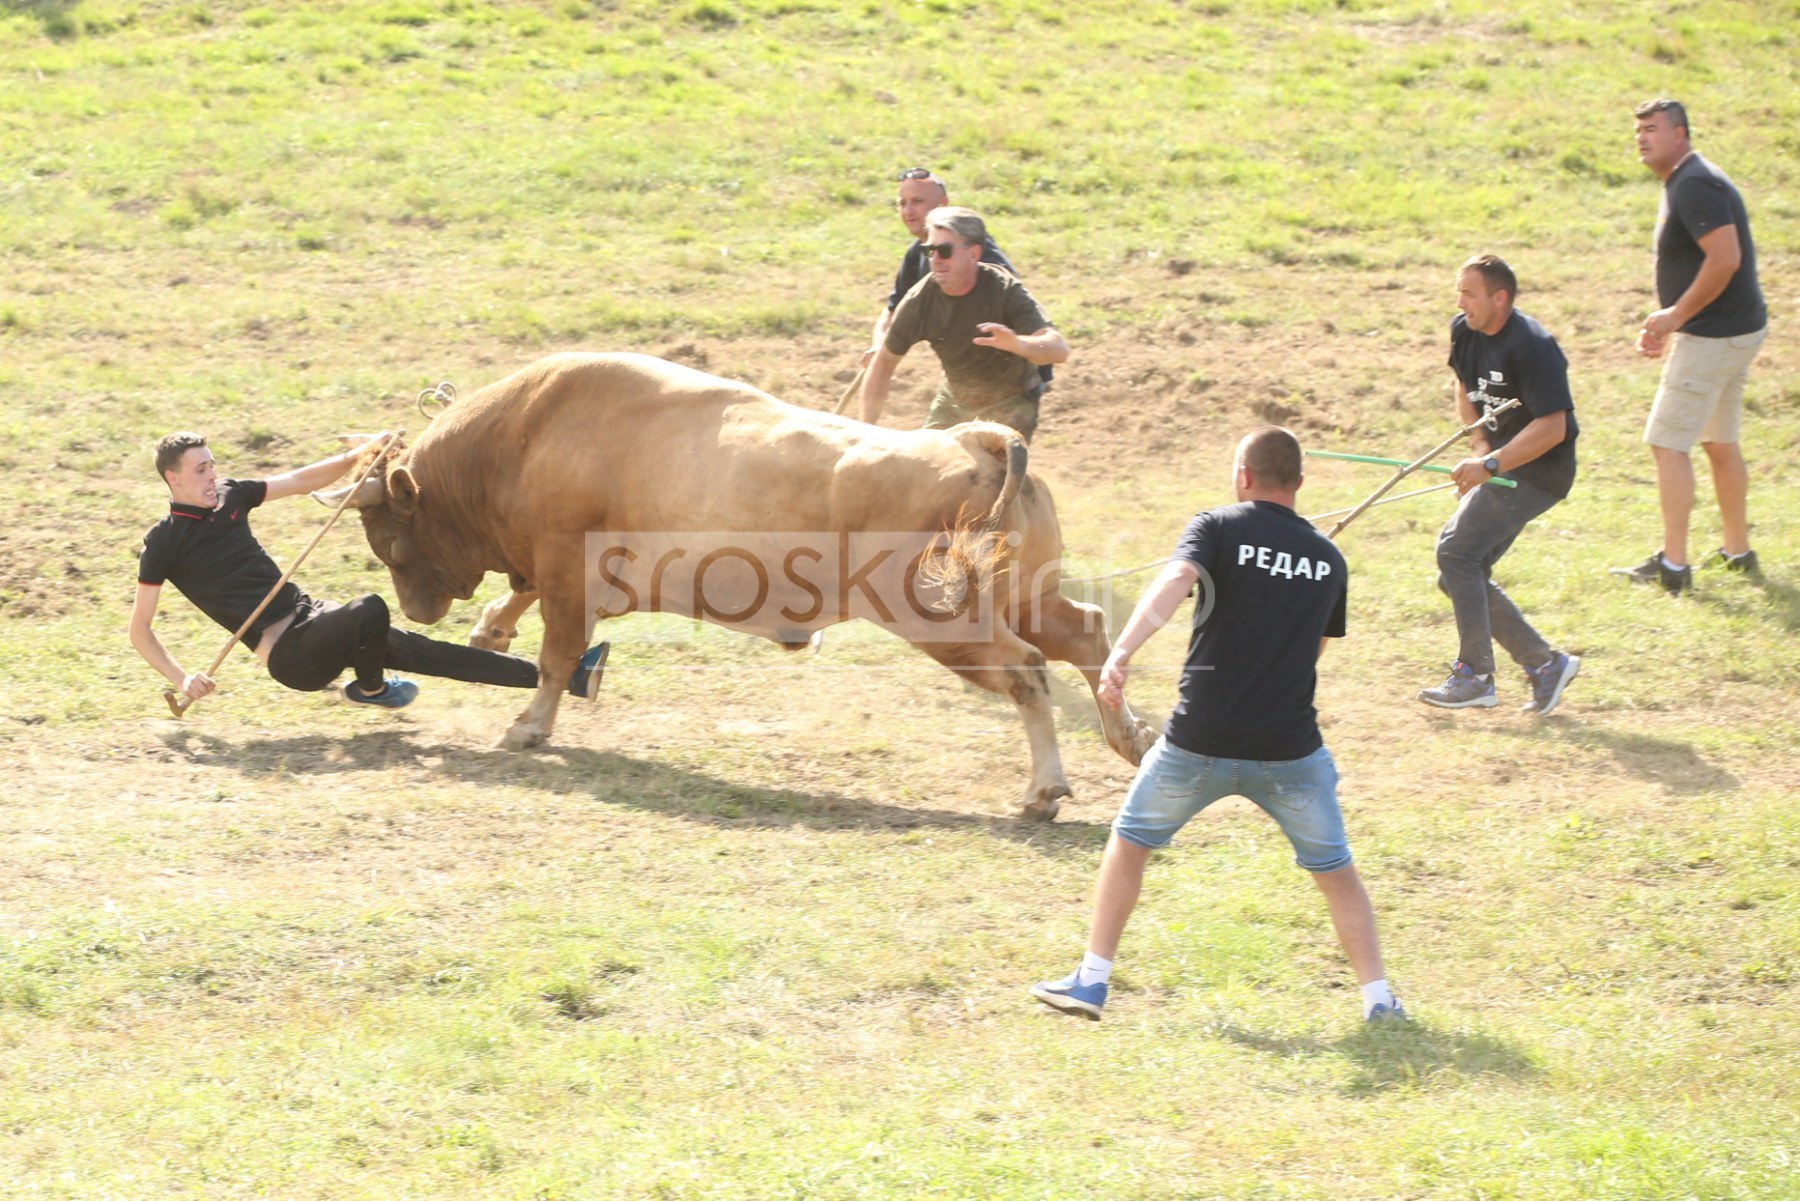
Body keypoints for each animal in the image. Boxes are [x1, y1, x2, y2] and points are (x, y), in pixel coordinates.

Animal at [322, 347, 1152, 817]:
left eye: (387, 537)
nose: (416, 607)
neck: (526, 434)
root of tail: (979, 438)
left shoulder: (567, 572)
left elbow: (556, 656)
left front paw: (528, 726)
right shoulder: (573, 577)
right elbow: (526, 604)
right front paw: (491, 626)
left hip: (943, 621)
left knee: (1028, 671)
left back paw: (1045, 789)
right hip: (1025, 594)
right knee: (1086, 633)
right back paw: (1130, 737)